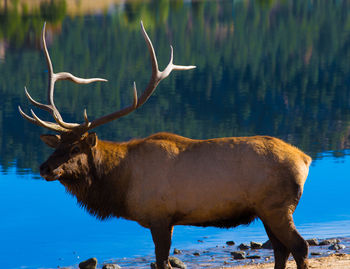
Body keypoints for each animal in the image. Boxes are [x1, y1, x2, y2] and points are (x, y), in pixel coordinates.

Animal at [19, 23, 310, 268]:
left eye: (76, 149)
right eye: (56, 146)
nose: (44, 168)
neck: (120, 183)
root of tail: (304, 159)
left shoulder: (160, 217)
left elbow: (162, 262)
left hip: (276, 206)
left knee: (299, 247)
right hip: (266, 210)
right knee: (281, 249)